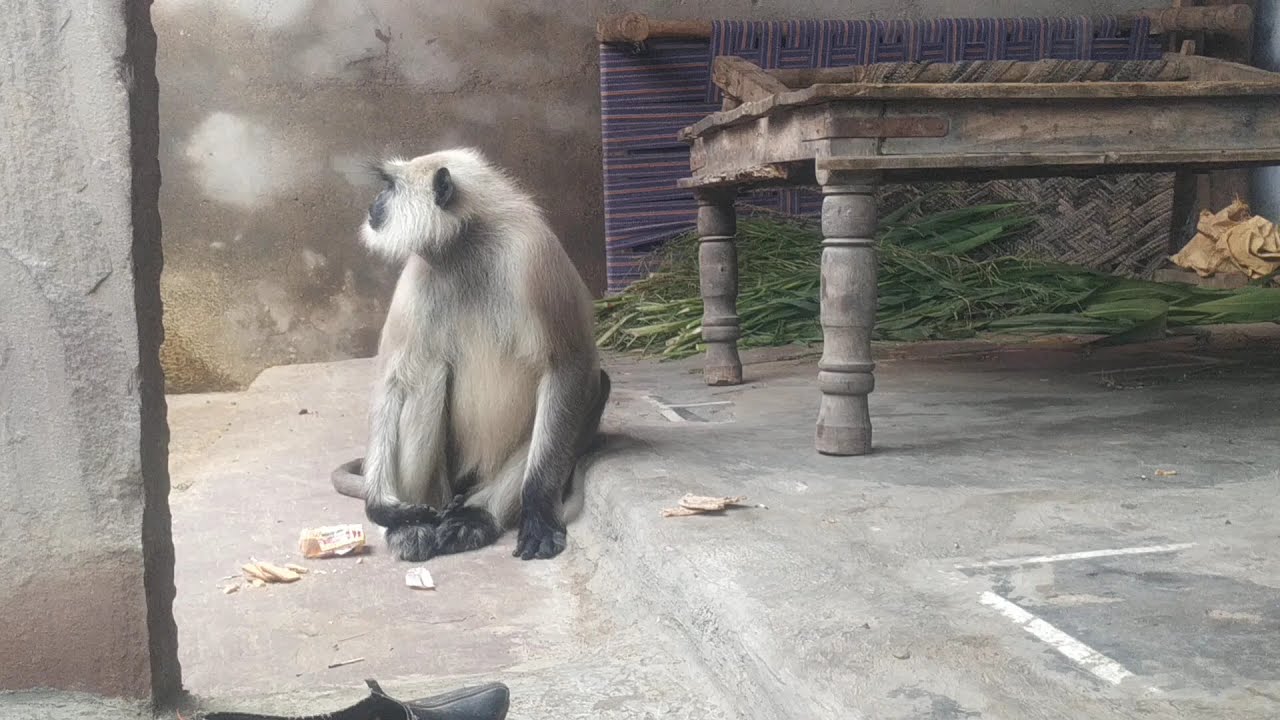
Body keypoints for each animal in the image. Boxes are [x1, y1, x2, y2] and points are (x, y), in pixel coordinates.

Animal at [329, 147, 611, 562]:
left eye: (389, 187)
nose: (373, 205)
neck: (466, 244)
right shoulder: (418, 275)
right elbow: (392, 380)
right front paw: (383, 508)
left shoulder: (532, 257)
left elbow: (568, 365)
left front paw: (538, 511)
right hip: (444, 484)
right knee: (424, 374)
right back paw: (411, 527)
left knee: (596, 385)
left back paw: (477, 517)